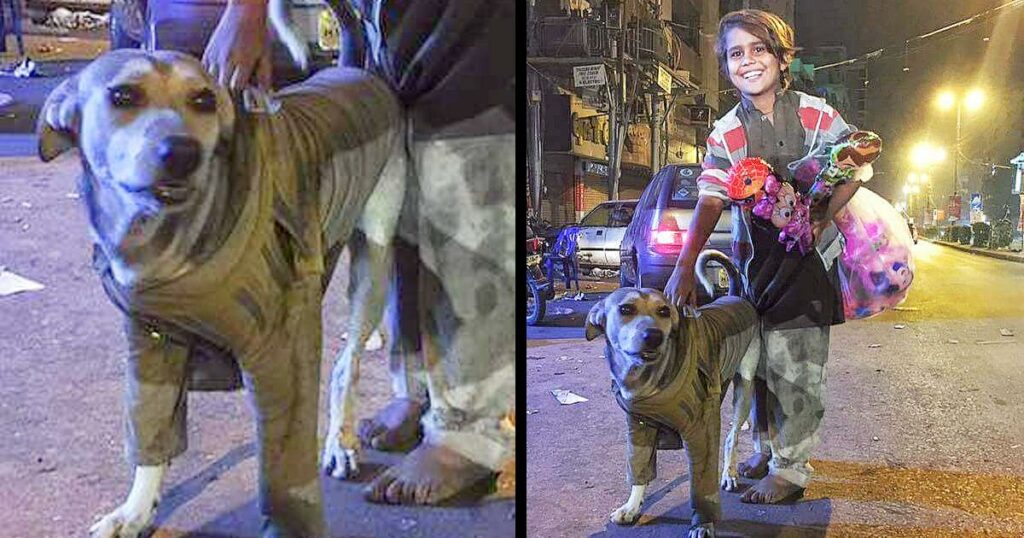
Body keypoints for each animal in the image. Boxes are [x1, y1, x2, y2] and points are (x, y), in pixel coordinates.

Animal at [36, 37, 403, 536]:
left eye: (204, 100)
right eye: (123, 96)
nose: (182, 153)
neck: (163, 244)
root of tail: (354, 71)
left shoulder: (280, 352)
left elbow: (285, 474)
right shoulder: (150, 342)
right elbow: (151, 431)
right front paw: (136, 509)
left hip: (375, 256)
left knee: (348, 363)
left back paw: (341, 438)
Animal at [589, 252, 765, 536]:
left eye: (664, 311)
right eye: (625, 309)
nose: (653, 336)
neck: (648, 380)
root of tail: (736, 296)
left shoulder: (701, 430)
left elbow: (702, 486)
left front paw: (702, 523)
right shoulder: (638, 426)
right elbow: (639, 468)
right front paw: (632, 506)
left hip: (744, 387)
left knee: (732, 436)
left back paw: (729, 473)